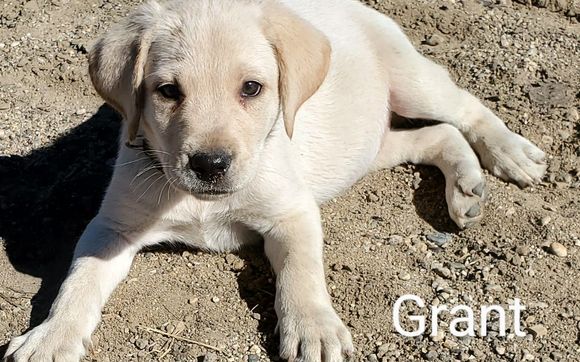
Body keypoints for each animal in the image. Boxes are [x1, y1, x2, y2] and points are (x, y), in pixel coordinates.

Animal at [5, 0, 548, 362]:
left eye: (252, 88)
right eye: (167, 91)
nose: (210, 164)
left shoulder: (292, 211)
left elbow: (302, 271)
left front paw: (314, 329)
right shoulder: (112, 227)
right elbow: (79, 280)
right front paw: (51, 337)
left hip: (412, 81)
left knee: (464, 109)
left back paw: (512, 154)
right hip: (363, 147)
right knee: (435, 136)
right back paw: (466, 188)